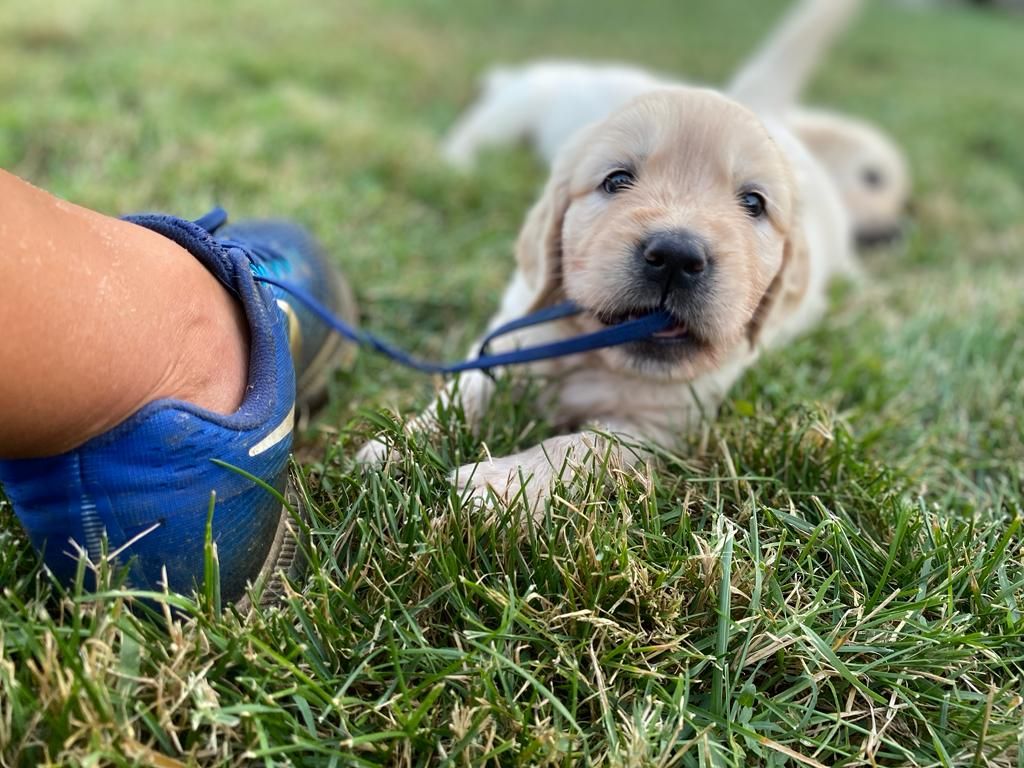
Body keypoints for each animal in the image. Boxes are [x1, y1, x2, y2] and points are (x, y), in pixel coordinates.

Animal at [360, 87, 847, 507]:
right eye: (616, 180)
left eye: (753, 203)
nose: (675, 256)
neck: (602, 353)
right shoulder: (510, 342)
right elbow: (464, 394)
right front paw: (398, 445)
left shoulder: (661, 425)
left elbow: (583, 445)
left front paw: (500, 486)